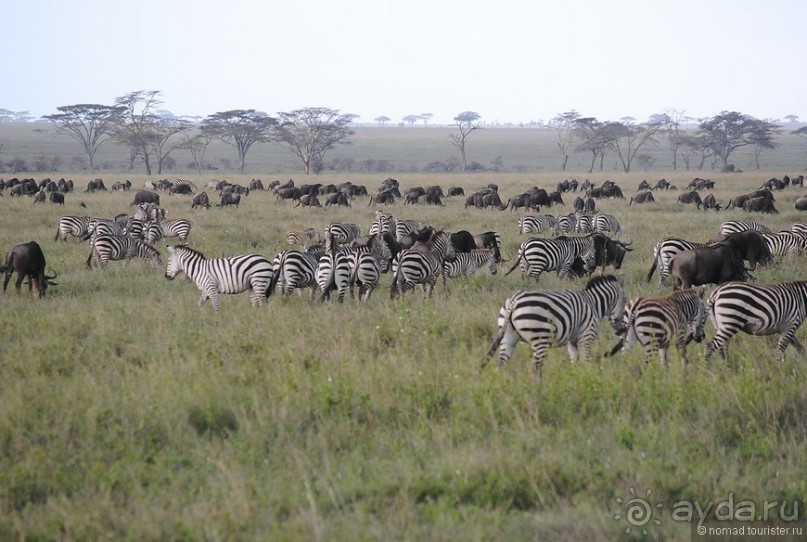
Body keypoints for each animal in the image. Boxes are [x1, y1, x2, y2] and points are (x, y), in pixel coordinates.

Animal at [482, 276, 628, 374]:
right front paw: (588, 378)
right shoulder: (587, 335)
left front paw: (576, 378)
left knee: (500, 364)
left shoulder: (572, 340)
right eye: (625, 301)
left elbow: (575, 361)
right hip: (540, 338)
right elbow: (585, 360)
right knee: (536, 369)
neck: (594, 303)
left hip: (508, 336)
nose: (622, 331)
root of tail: (514, 300)